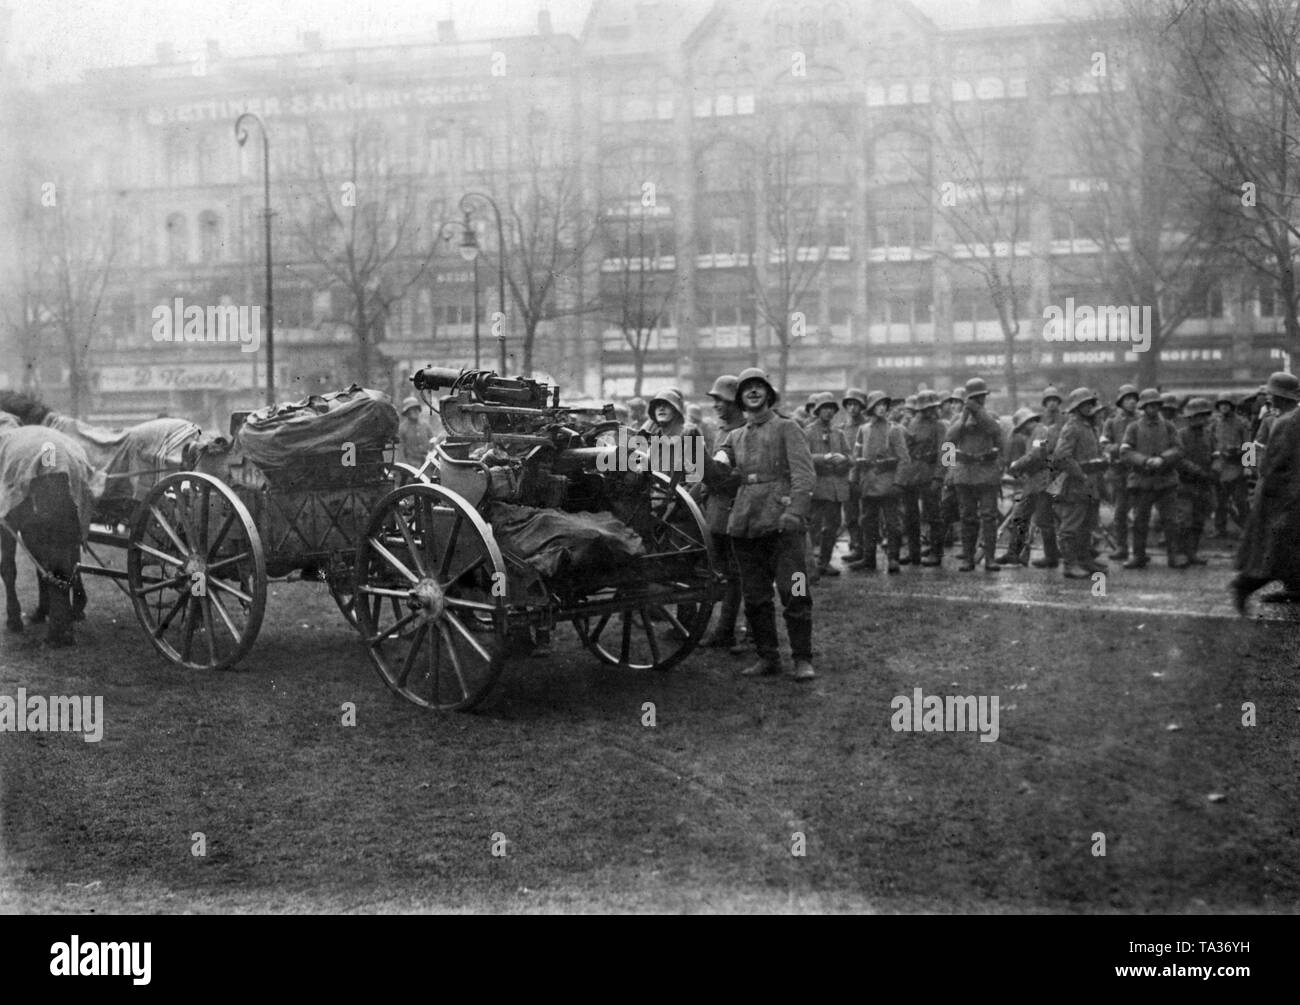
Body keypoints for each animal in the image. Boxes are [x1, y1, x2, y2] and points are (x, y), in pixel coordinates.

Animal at [0, 418, 97, 647]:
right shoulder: (30, 528)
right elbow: (41, 568)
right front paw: (43, 611)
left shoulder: (8, 523)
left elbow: (8, 568)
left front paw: (14, 619)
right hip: (70, 521)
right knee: (65, 567)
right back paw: (66, 623)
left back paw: (58, 632)